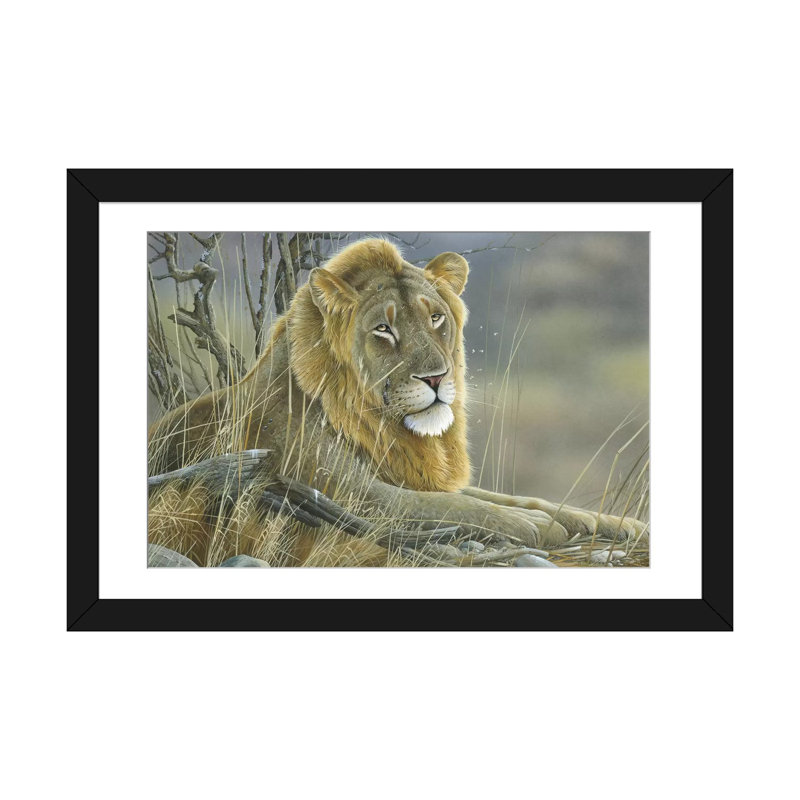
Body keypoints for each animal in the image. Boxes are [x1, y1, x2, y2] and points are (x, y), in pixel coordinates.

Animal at [149, 238, 646, 561]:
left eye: (436, 318)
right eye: (383, 329)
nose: (437, 378)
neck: (386, 426)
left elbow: (517, 497)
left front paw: (615, 523)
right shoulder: (345, 488)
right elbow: (455, 506)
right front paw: (538, 528)